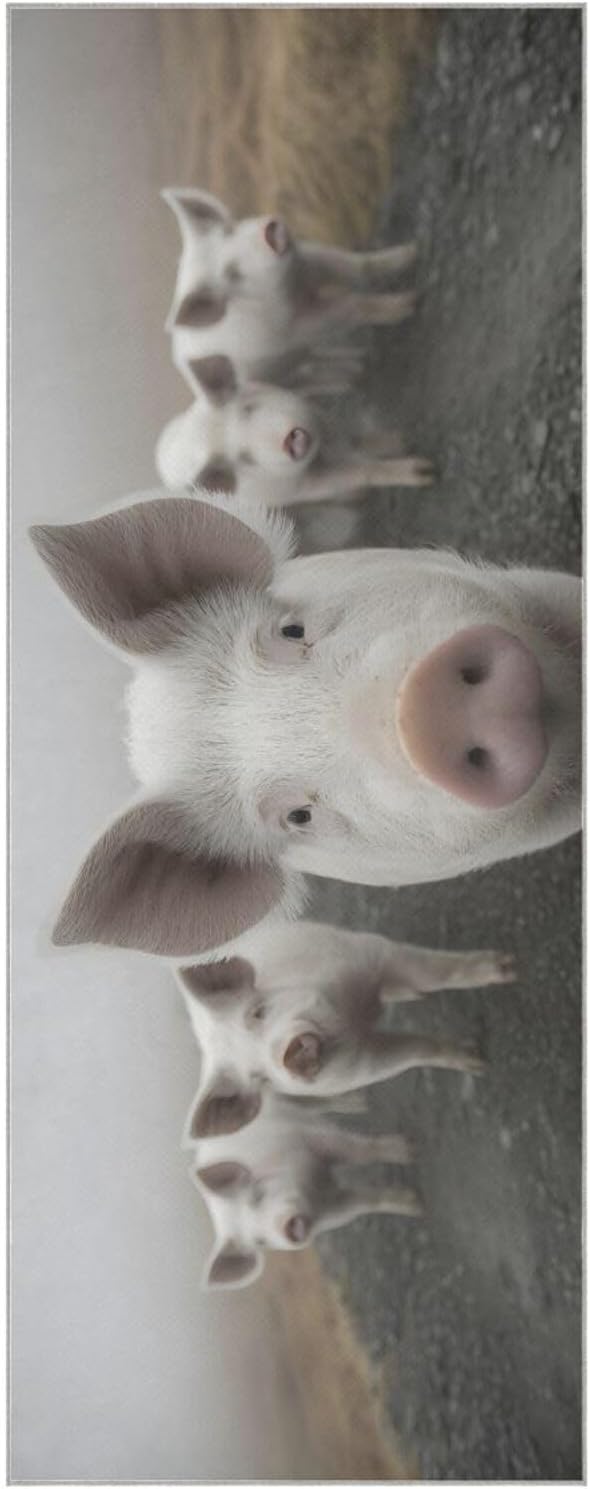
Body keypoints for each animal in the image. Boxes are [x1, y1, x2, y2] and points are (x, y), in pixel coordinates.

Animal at [155, 353, 433, 505]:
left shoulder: (318, 416)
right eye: (244, 459)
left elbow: (353, 438)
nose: (292, 441)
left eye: (248, 408)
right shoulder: (302, 487)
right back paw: (356, 496)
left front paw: (403, 440)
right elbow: (359, 471)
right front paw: (425, 473)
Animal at [162, 187, 416, 392]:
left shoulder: (310, 259)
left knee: (315, 359)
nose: (269, 233)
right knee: (304, 381)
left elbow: (356, 266)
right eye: (232, 275)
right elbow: (352, 304)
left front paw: (411, 252)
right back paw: (349, 382)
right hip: (272, 378)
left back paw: (358, 367)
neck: (291, 288)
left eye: (229, 230)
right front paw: (409, 303)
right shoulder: (297, 328)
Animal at [178, 920, 515, 1138]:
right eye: (259, 1079)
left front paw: (507, 967)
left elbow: (437, 971)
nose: (290, 1055)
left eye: (257, 1012)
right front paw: (476, 1061)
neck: (352, 1014)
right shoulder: (358, 1066)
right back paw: (358, 1103)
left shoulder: (367, 953)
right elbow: (407, 1054)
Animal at [187, 1089, 421, 1289]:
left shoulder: (309, 1137)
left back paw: (359, 1102)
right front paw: (414, 1204)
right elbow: (364, 1203)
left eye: (257, 1196)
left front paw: (408, 1149)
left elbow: (359, 1150)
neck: (314, 1185)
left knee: (310, 1100)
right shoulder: (331, 1213)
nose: (288, 1229)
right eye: (260, 1242)